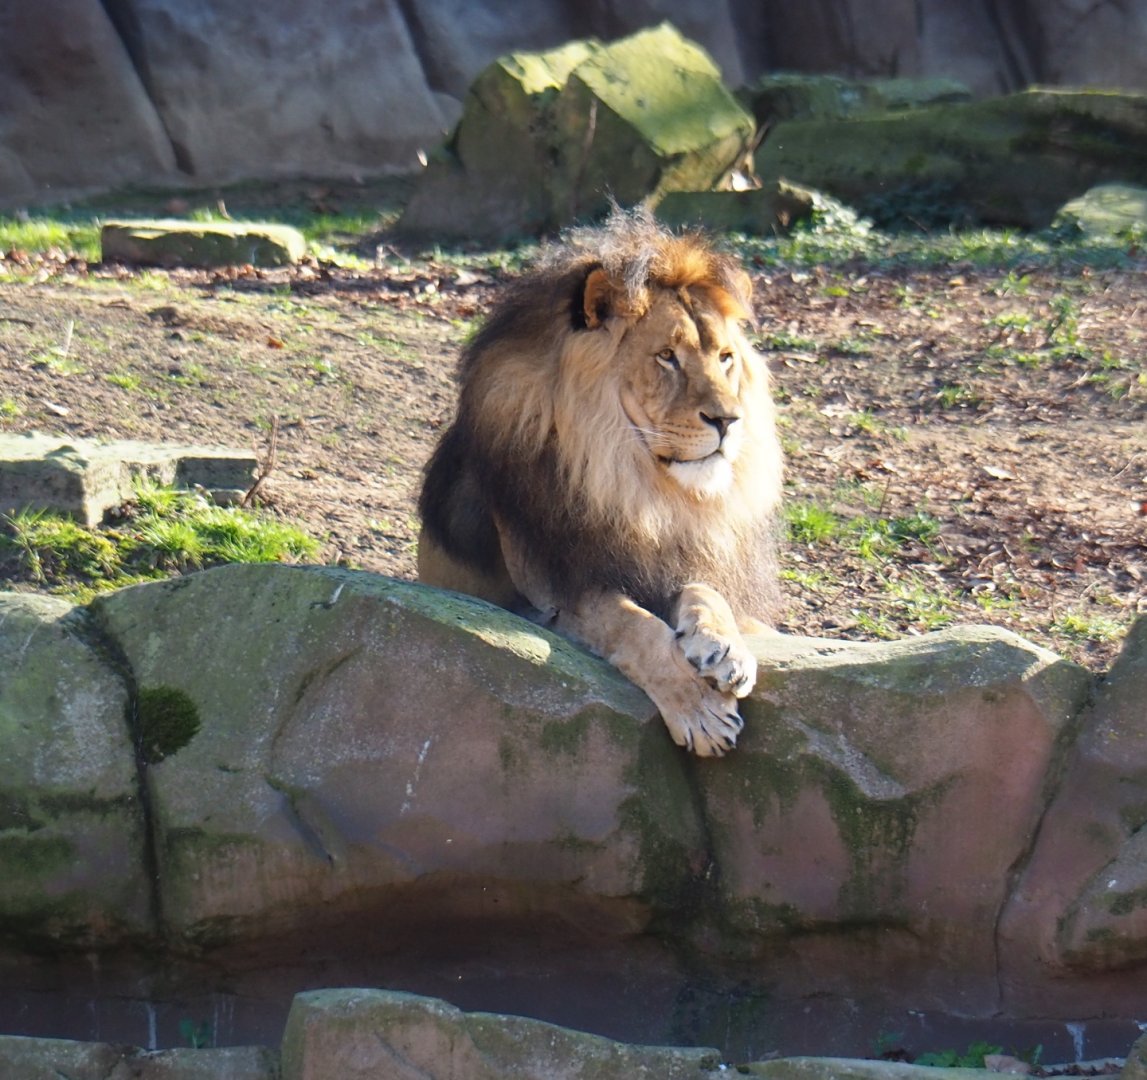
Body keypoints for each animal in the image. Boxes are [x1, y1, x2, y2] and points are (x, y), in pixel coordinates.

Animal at [417, 210, 782, 757]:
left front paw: (725, 649)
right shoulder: (549, 595)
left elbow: (706, 589)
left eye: (724, 358)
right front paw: (700, 711)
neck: (635, 484)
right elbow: (631, 625)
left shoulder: (674, 558)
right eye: (666, 356)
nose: (729, 420)